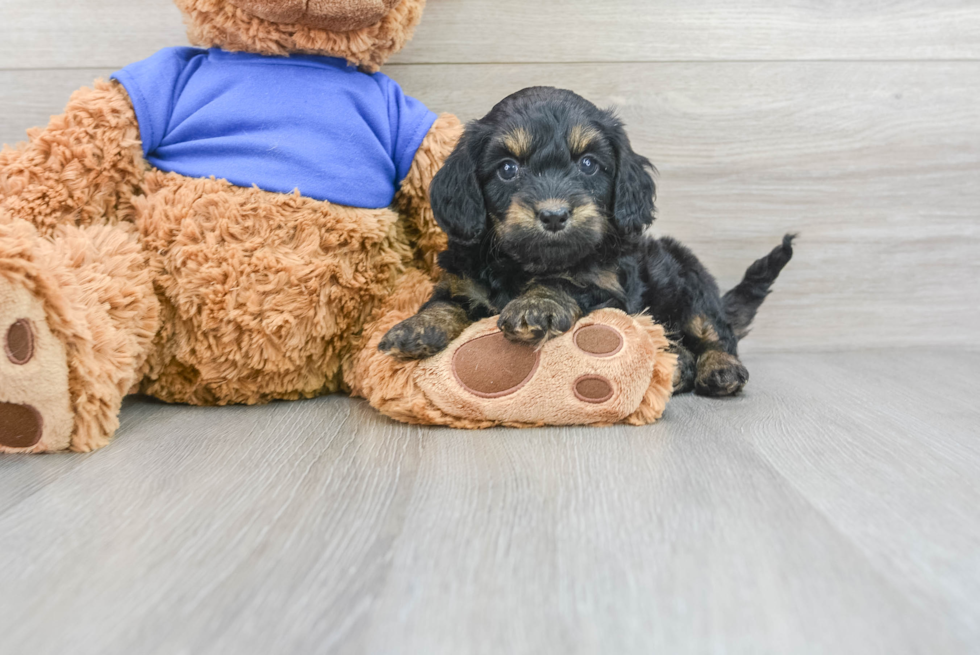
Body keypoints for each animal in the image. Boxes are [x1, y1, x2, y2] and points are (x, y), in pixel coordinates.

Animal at [378, 86, 792, 394]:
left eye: (589, 164)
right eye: (508, 168)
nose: (554, 215)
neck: (526, 263)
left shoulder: (610, 290)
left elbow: (567, 282)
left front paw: (536, 304)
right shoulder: (462, 280)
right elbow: (444, 302)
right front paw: (416, 327)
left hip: (692, 282)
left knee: (715, 333)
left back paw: (719, 368)